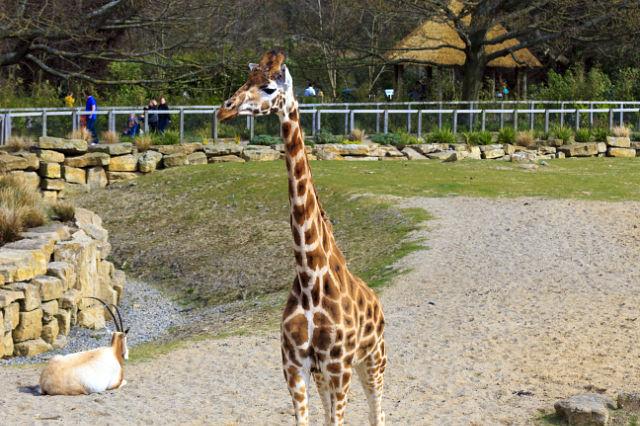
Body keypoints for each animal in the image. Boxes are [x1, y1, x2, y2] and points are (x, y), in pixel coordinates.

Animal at [218, 50, 384, 426]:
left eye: (268, 87)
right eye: (246, 80)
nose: (225, 109)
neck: (310, 279)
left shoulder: (339, 367)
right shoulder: (294, 365)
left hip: (374, 360)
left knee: (378, 412)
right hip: (326, 374)